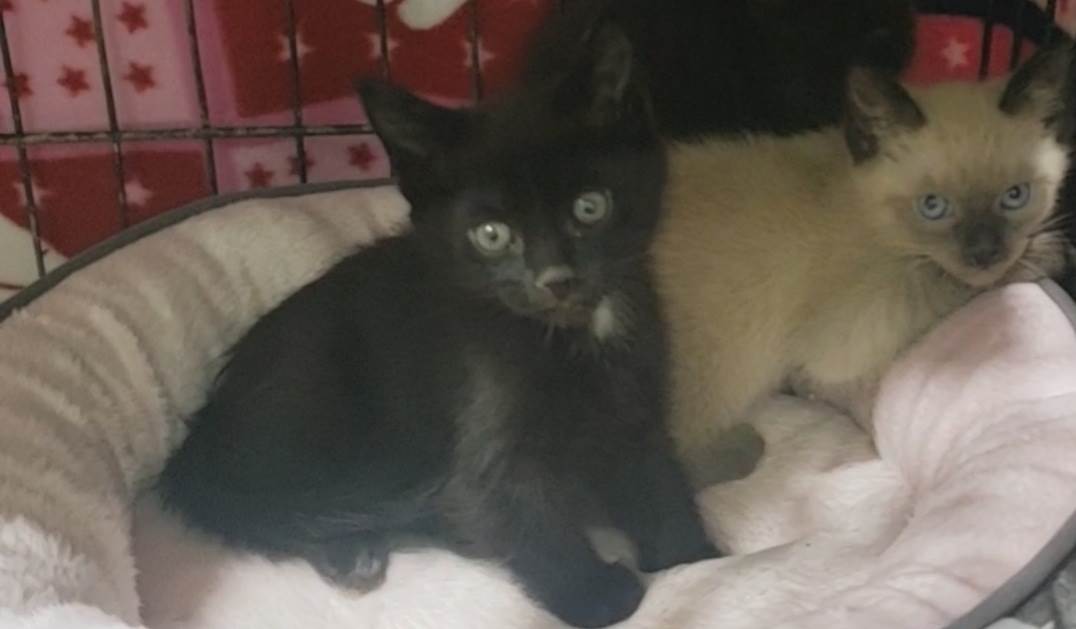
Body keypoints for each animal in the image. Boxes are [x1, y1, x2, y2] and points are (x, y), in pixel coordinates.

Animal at [157, 26, 717, 629]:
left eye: (590, 207)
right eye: (492, 235)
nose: (556, 278)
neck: (577, 333)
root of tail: (203, 435)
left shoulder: (634, 403)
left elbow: (657, 476)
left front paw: (693, 557)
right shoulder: (483, 428)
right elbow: (514, 509)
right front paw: (599, 596)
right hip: (311, 406)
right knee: (275, 508)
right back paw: (350, 553)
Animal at [652, 43, 1074, 480]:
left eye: (1015, 196)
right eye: (933, 206)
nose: (985, 254)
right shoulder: (848, 332)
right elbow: (940, 279)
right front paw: (1049, 252)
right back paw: (744, 448)